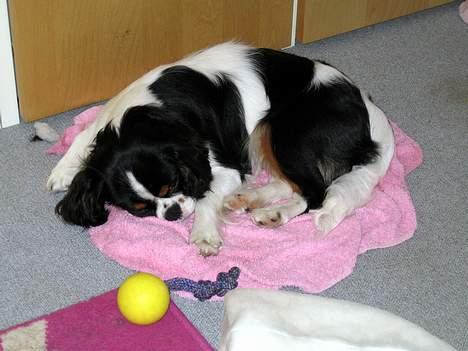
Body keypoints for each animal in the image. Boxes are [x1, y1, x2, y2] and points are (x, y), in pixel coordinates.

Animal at [48, 42, 394, 256]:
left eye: (172, 185)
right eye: (140, 209)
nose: (172, 213)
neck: (147, 111)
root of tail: (367, 106)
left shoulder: (223, 166)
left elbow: (206, 197)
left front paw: (204, 234)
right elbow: (82, 136)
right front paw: (62, 171)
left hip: (282, 131)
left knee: (315, 191)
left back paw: (274, 213)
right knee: (289, 183)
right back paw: (249, 199)